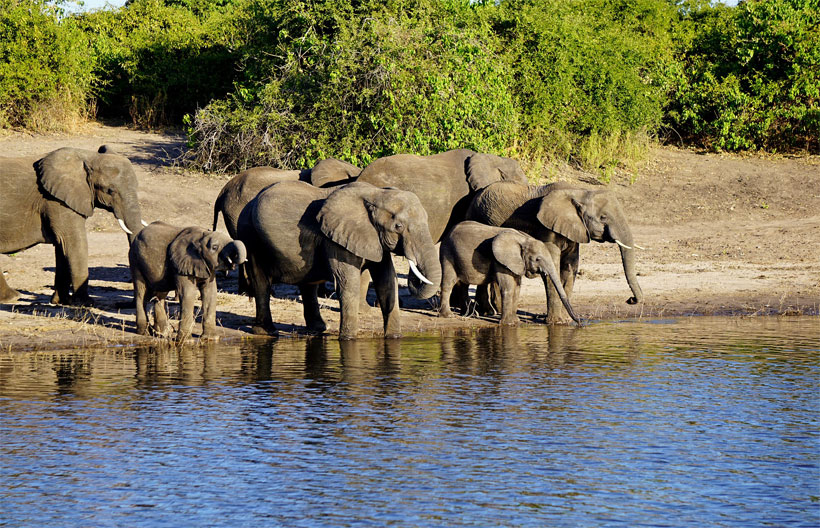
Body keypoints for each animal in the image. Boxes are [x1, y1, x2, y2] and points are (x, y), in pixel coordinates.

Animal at [0, 147, 144, 306]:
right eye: (110, 191)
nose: (123, 304)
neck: (87, 157)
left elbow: (62, 247)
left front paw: (62, 301)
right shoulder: (56, 202)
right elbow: (74, 243)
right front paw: (86, 303)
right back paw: (13, 297)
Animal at [237, 180, 442, 338]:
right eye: (398, 226)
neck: (376, 193)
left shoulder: (373, 238)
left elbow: (387, 282)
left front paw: (394, 338)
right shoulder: (336, 239)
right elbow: (348, 283)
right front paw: (349, 339)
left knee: (308, 283)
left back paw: (318, 329)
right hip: (250, 236)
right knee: (261, 282)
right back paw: (267, 332)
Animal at [438, 220, 580, 326]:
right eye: (537, 259)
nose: (579, 321)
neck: (524, 239)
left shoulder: (517, 262)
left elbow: (517, 288)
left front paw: (515, 322)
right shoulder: (500, 261)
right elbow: (508, 287)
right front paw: (509, 324)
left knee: (463, 284)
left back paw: (470, 314)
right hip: (447, 253)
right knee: (449, 283)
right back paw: (448, 316)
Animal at [464, 180, 644, 322]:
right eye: (603, 217)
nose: (631, 300)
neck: (580, 192)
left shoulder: (573, 229)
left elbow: (570, 268)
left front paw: (565, 321)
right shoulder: (546, 228)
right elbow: (553, 268)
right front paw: (556, 322)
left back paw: (489, 311)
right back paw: (487, 312)